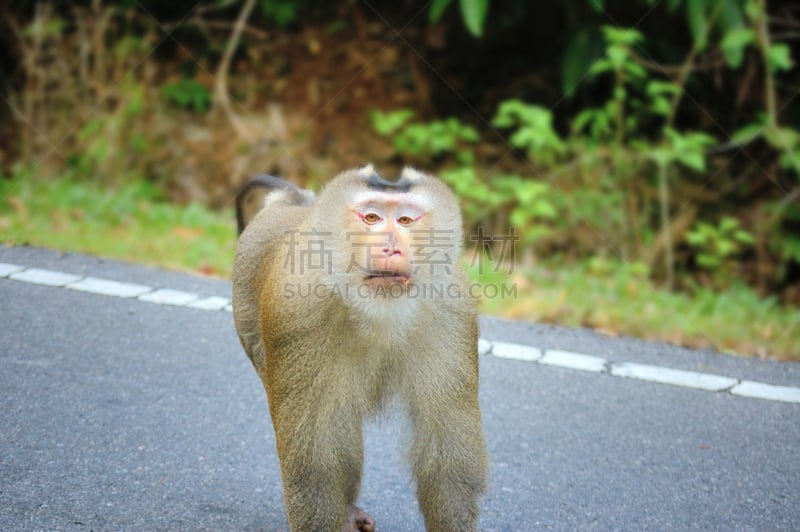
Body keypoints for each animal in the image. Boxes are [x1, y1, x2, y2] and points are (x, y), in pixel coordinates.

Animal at [231, 164, 488, 528]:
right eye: (371, 217)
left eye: (406, 220)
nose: (391, 248)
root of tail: (292, 203)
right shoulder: (297, 314)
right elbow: (313, 464)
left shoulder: (452, 312)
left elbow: (447, 464)